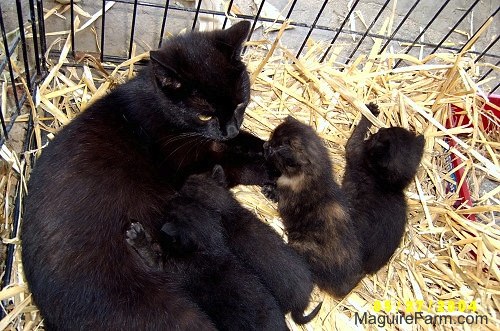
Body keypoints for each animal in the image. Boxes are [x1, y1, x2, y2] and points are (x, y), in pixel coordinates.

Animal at [22, 22, 290, 330]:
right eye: (204, 115)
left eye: (239, 103)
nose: (229, 130)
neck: (161, 107)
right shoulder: (191, 165)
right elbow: (240, 164)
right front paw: (274, 172)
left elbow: (251, 142)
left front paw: (277, 151)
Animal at [344, 104, 426, 274]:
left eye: (380, 135)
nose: (379, 130)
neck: (386, 183)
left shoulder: (355, 151)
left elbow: (357, 133)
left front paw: (369, 113)